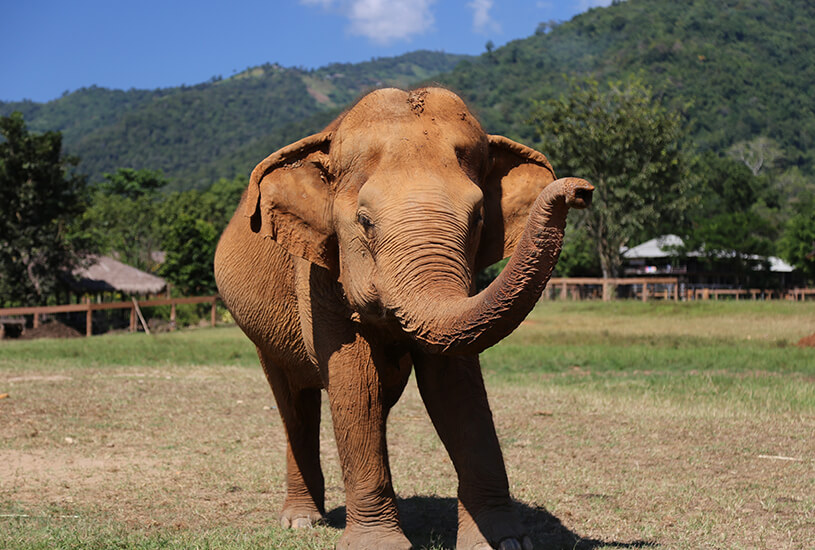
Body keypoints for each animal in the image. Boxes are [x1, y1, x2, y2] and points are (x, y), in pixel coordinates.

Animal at [212, 88, 592, 548]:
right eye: (364, 221)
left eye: (479, 218)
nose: (581, 191)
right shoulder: (319, 273)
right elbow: (356, 384)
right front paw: (378, 545)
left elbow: (454, 385)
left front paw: (504, 542)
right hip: (262, 335)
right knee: (295, 402)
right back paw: (302, 521)